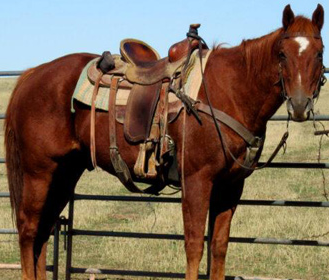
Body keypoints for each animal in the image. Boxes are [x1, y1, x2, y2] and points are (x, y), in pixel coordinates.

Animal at [4, 4, 322, 280]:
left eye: (319, 53)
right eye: (282, 53)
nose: (300, 105)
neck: (229, 91)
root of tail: (32, 74)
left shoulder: (231, 186)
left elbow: (219, 247)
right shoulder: (197, 180)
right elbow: (194, 246)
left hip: (64, 173)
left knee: (44, 230)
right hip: (38, 172)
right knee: (29, 229)